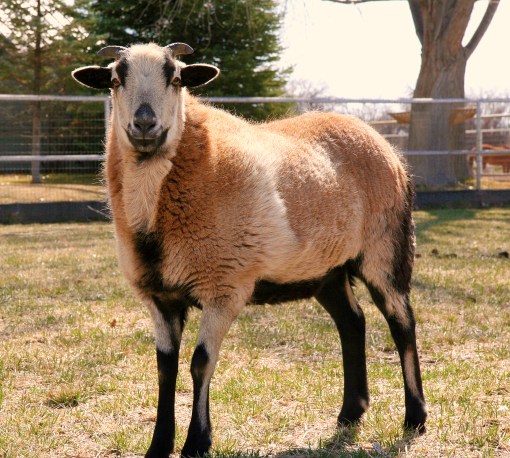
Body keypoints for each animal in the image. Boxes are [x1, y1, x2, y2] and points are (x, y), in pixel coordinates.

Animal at [72, 42, 427, 458]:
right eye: (115, 80)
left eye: (175, 79)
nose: (144, 124)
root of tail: (384, 144)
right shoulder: (159, 296)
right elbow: (165, 368)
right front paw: (158, 446)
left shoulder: (225, 286)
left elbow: (200, 363)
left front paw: (197, 442)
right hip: (326, 270)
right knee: (352, 323)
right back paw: (350, 414)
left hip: (386, 247)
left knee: (402, 323)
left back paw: (415, 417)